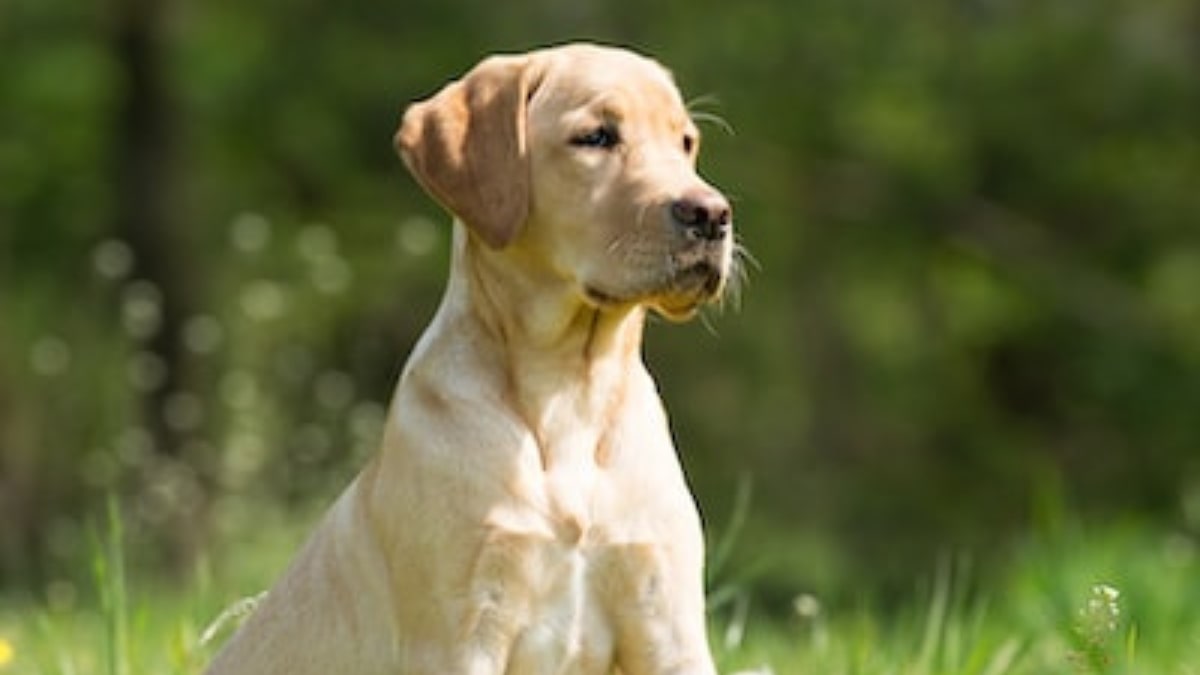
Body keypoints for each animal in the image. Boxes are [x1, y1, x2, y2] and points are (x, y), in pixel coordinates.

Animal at [202, 43, 734, 672]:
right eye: (596, 137)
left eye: (685, 142)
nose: (712, 214)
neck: (570, 391)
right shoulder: (461, 631)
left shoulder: (667, 623)